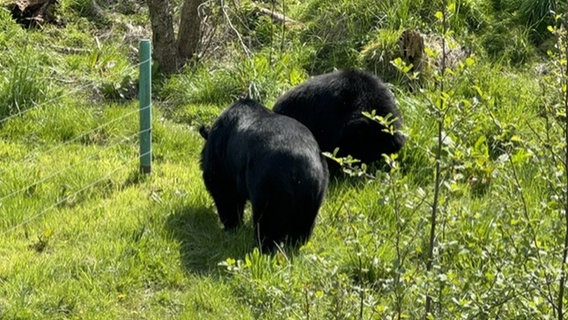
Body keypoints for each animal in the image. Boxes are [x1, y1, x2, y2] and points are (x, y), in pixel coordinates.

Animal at [200, 99, 328, 251]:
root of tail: (299, 171)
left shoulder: (223, 161)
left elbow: (225, 193)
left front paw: (231, 226)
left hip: (269, 188)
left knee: (268, 223)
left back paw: (264, 246)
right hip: (315, 193)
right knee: (303, 226)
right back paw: (294, 245)